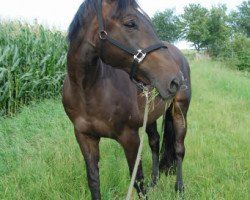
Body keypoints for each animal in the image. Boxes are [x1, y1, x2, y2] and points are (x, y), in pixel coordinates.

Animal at [61, 0, 190, 199]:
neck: (88, 90)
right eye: (130, 23)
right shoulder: (84, 137)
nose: (175, 80)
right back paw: (155, 181)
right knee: (155, 143)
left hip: (180, 111)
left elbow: (137, 181)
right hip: (150, 116)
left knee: (179, 149)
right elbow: (94, 181)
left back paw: (179, 189)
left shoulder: (130, 138)